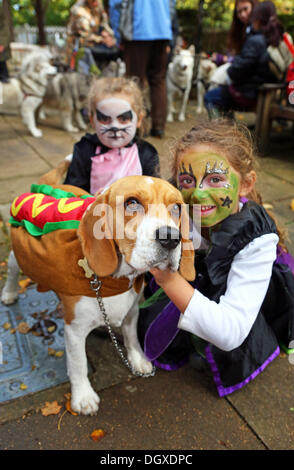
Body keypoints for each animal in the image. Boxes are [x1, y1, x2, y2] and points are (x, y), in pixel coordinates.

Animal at [2, 176, 195, 414]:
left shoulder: (132, 312)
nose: (171, 238)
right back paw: (9, 292)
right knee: (12, 271)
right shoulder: (74, 330)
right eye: (132, 203)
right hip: (18, 258)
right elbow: (78, 364)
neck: (117, 280)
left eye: (176, 207)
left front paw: (138, 360)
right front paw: (83, 396)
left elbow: (132, 339)